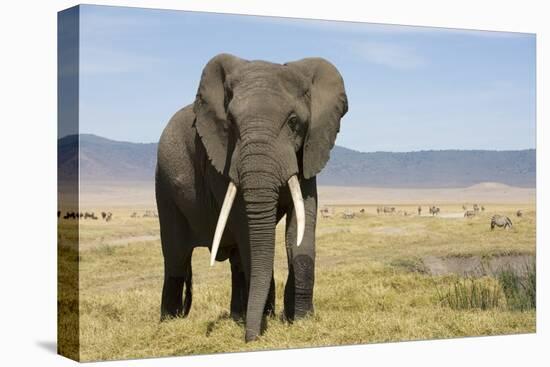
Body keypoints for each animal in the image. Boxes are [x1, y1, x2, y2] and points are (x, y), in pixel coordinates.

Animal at [155, 52, 348, 342]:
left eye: (293, 122)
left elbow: (301, 225)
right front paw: (266, 320)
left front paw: (300, 320)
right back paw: (169, 322)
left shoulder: (308, 151)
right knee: (176, 256)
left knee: (235, 261)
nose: (251, 339)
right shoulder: (220, 160)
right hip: (164, 187)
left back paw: (238, 316)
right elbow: (246, 228)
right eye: (231, 124)